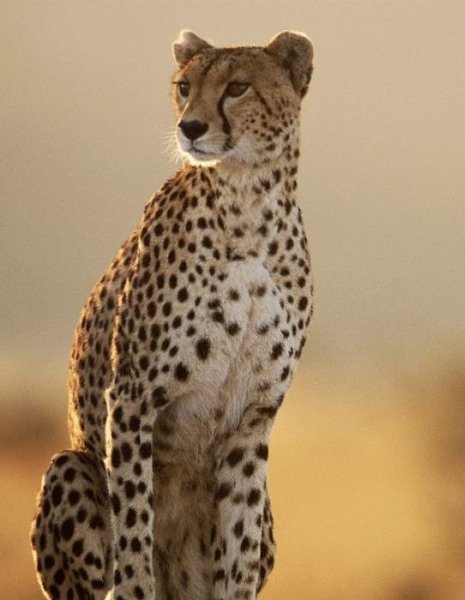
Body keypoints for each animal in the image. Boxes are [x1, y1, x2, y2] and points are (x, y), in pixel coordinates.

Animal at [31, 29, 314, 600]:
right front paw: (138, 580)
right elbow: (134, 524)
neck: (249, 208)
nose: (190, 126)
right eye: (184, 86)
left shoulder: (253, 420)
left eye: (238, 87)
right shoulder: (133, 396)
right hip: (70, 465)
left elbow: (239, 545)